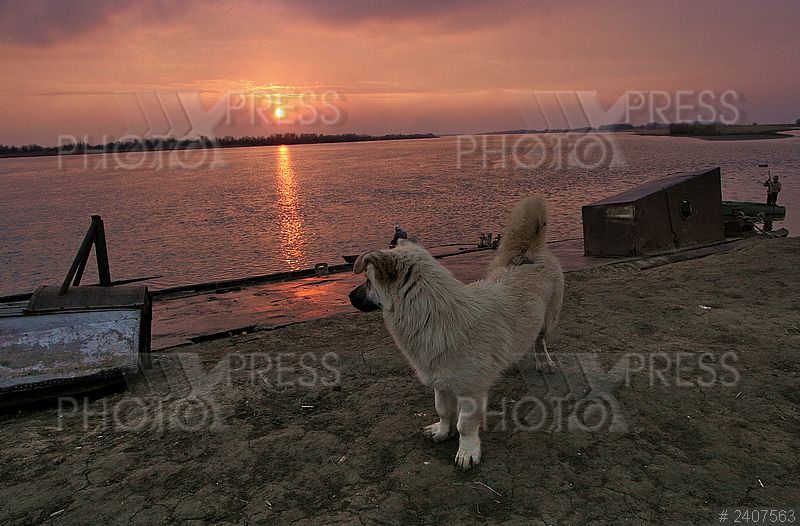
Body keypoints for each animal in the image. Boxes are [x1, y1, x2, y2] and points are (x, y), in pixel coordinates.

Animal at [348, 195, 564, 470]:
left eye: (367, 280)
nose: (349, 296)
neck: (433, 315)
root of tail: (530, 254)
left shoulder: (470, 392)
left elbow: (465, 424)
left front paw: (467, 450)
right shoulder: (440, 383)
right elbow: (443, 411)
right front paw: (442, 431)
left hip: (548, 321)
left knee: (540, 341)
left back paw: (544, 361)